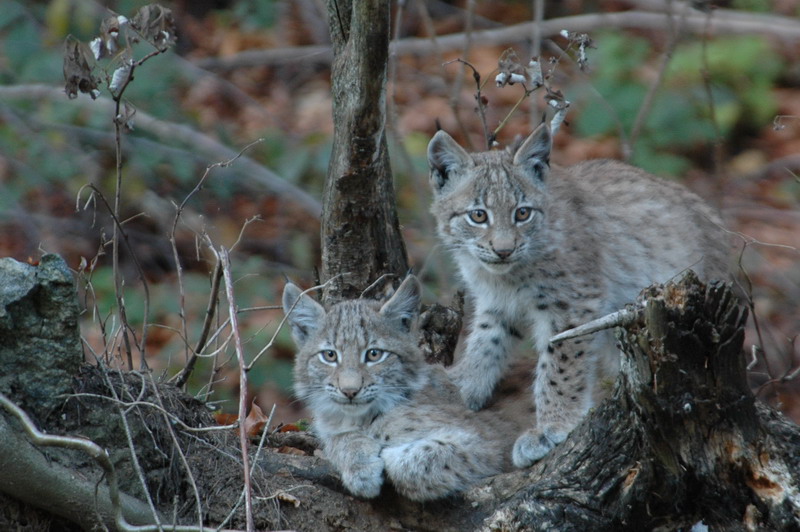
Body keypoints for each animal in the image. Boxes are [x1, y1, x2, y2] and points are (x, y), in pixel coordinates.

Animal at [282, 276, 520, 500]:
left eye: (374, 354)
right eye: (330, 355)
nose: (350, 391)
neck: (362, 417)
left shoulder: (492, 441)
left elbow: (421, 459)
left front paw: (389, 453)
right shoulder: (331, 427)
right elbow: (340, 439)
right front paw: (360, 468)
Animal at [428, 123, 728, 466]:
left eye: (522, 214)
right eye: (478, 216)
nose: (504, 250)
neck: (505, 276)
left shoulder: (572, 303)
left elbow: (559, 366)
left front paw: (553, 426)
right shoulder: (497, 303)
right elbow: (486, 341)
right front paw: (461, 387)